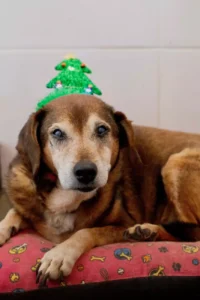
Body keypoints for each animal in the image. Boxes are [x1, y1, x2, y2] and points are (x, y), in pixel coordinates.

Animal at [1, 94, 200, 286]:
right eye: (57, 133)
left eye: (102, 130)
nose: (86, 172)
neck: (67, 197)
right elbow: (14, 211)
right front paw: (4, 229)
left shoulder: (124, 224)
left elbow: (87, 231)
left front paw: (59, 255)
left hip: (176, 163)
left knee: (192, 235)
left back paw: (148, 231)